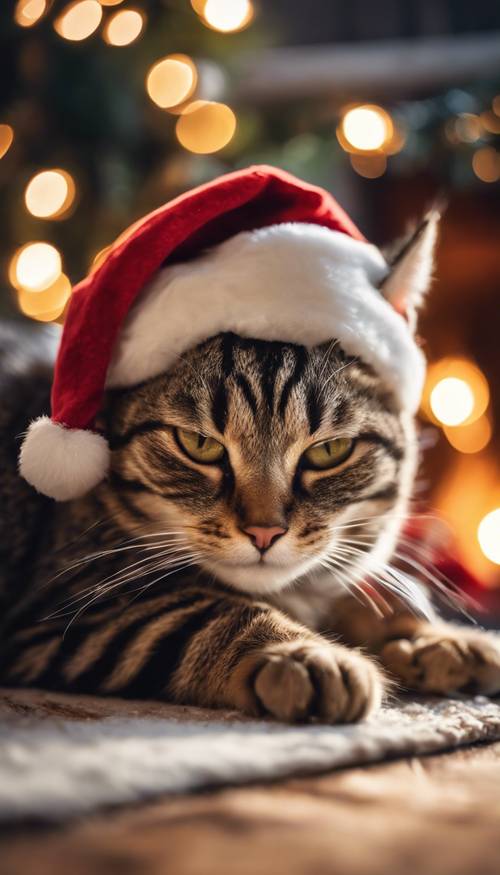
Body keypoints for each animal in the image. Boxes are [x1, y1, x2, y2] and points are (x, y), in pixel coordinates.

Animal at [0, 253, 500, 724]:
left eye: (329, 450)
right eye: (199, 444)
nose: (265, 532)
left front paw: (433, 637)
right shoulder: (67, 614)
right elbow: (207, 613)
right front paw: (305, 654)